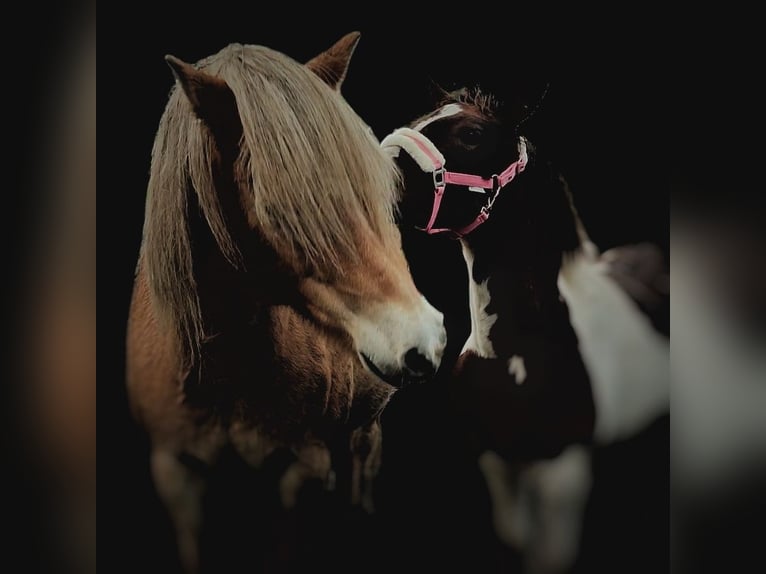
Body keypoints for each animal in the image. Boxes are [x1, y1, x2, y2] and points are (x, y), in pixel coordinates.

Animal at [388, 88, 668, 572]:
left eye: (471, 133)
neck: (519, 360)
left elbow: (550, 556)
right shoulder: (498, 462)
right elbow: (515, 537)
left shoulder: (563, 474)